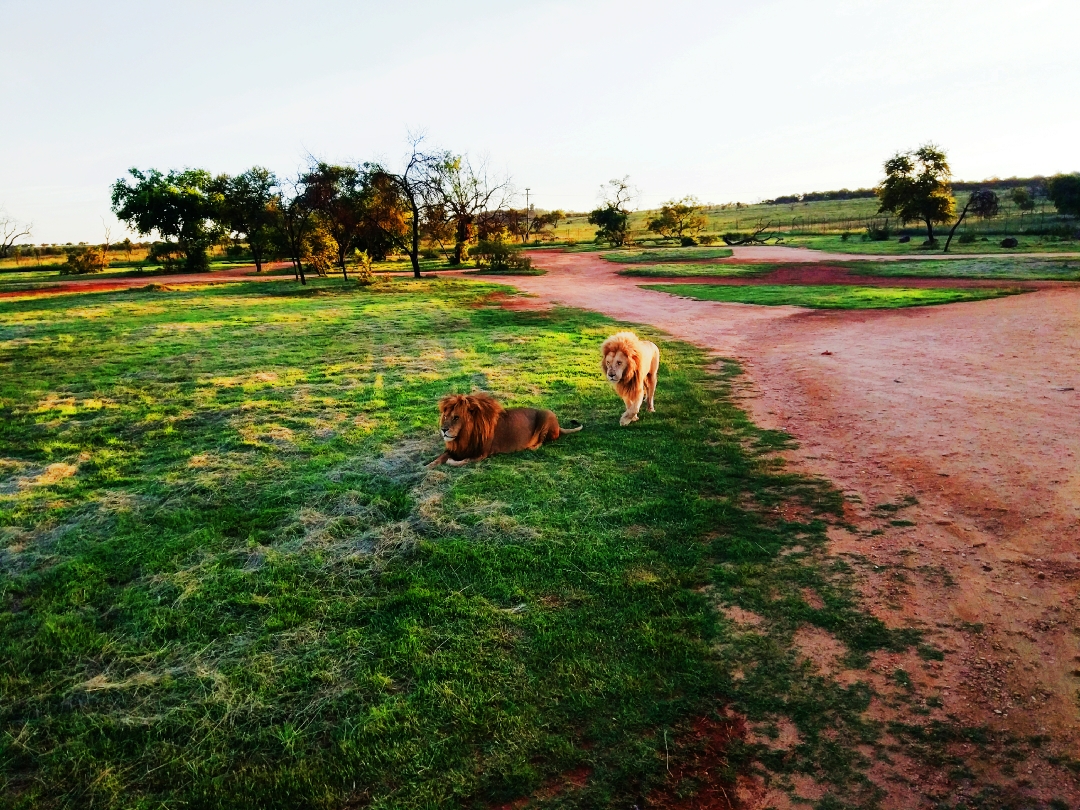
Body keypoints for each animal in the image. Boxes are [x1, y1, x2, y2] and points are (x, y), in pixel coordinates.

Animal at [427, 395, 583, 468]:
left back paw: (531, 446)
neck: (463, 436)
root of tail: (559, 427)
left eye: (456, 417)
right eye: (445, 416)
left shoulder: (482, 454)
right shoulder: (457, 449)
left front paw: (451, 462)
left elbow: (464, 461)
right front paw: (429, 465)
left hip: (546, 414)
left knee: (542, 441)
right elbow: (441, 456)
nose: (443, 430)